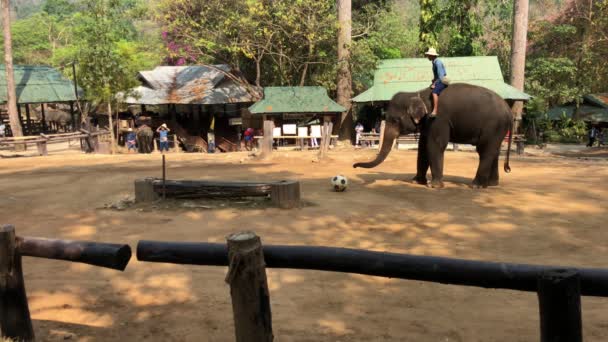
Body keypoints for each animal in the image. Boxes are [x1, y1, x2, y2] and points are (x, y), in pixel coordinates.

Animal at [352, 84, 512, 188]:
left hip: (493, 126)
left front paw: (434, 186)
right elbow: (422, 148)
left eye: (395, 120)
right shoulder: (427, 123)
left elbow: (435, 144)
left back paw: (476, 186)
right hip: (498, 129)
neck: (417, 93)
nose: (354, 166)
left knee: (485, 151)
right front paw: (417, 181)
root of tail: (509, 110)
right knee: (494, 151)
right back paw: (491, 184)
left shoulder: (438, 119)